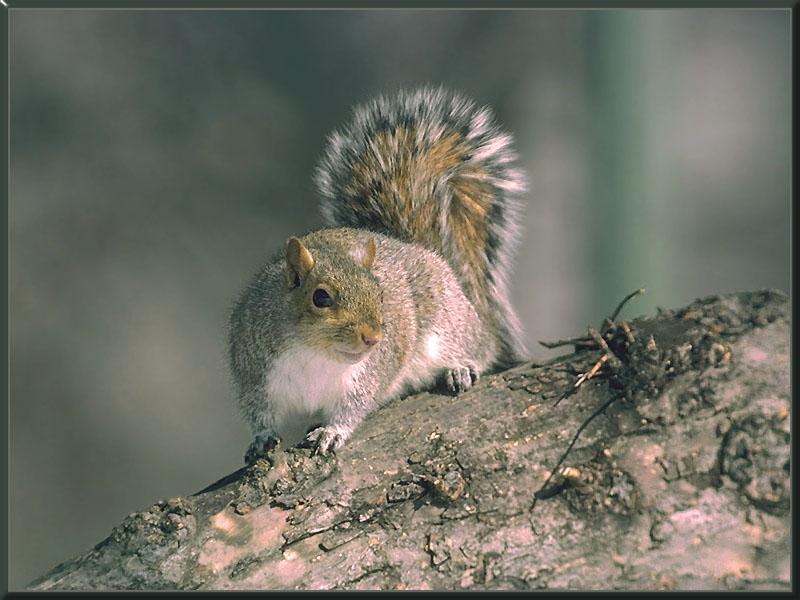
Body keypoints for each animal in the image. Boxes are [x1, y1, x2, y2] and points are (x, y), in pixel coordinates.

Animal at [228, 86, 528, 464]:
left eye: (380, 294)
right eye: (321, 297)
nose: (373, 338)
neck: (313, 350)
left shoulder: (367, 375)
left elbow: (354, 408)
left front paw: (332, 432)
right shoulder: (255, 370)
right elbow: (259, 412)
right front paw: (262, 437)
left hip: (450, 324)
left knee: (480, 347)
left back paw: (460, 368)